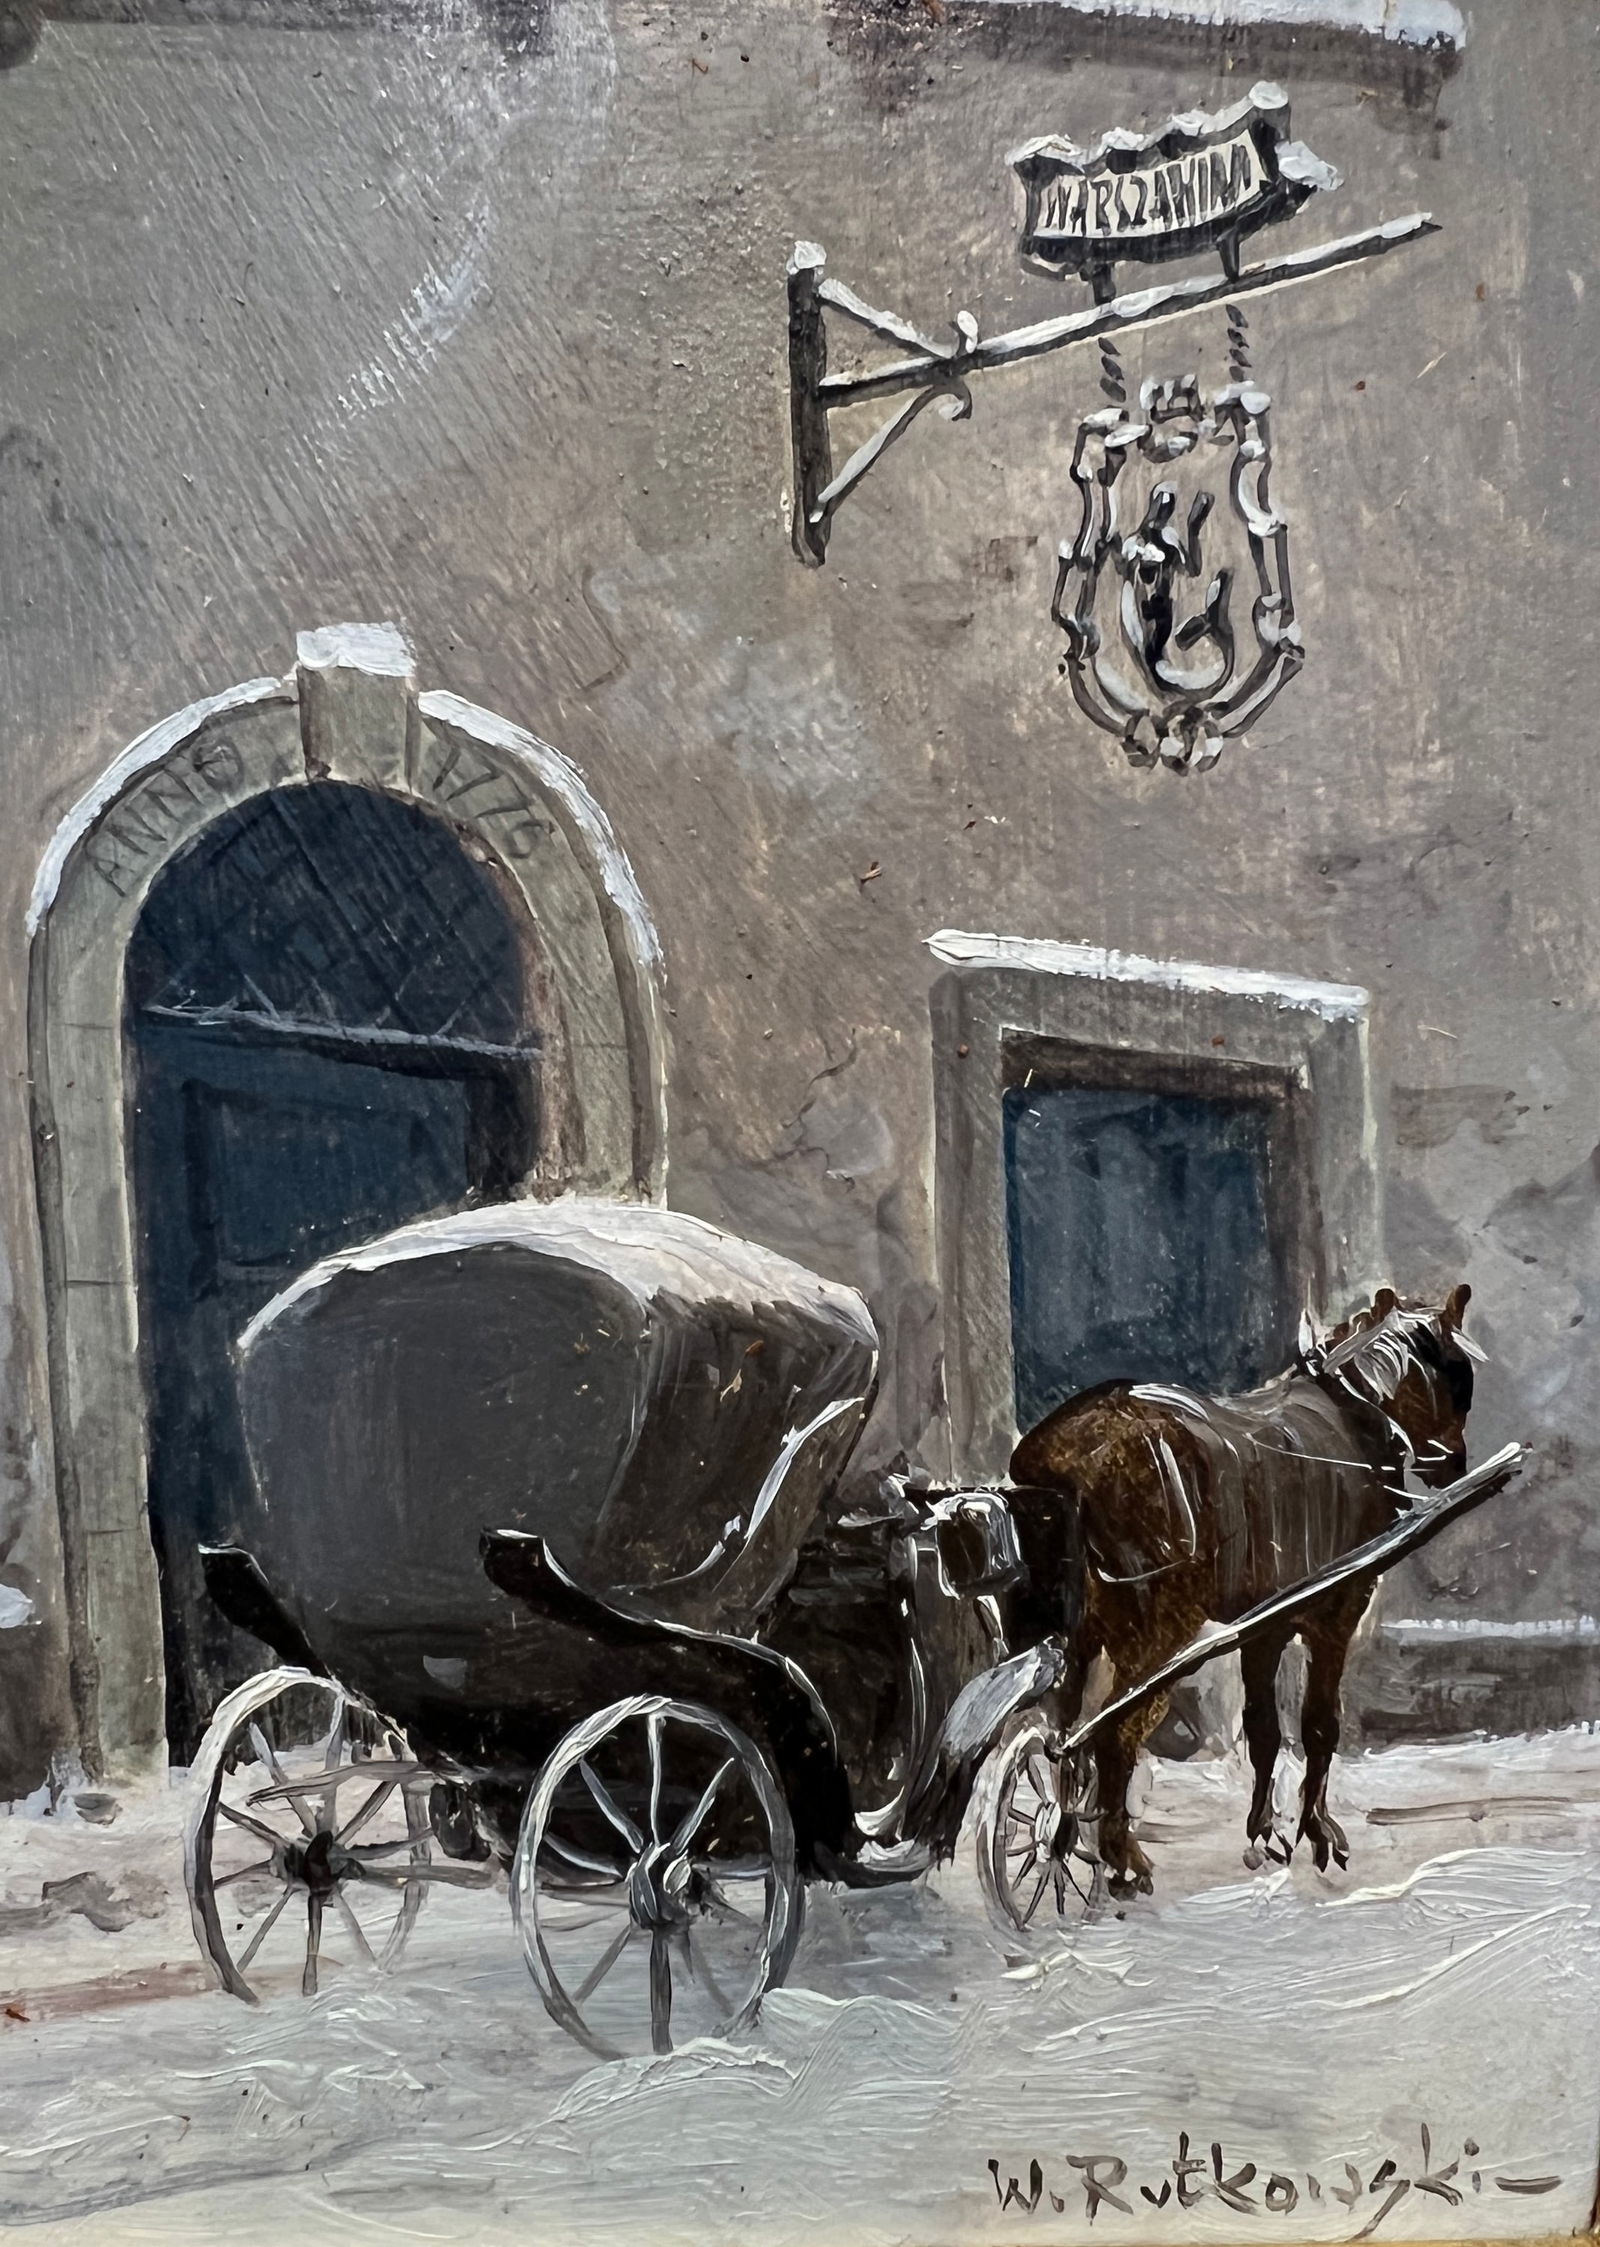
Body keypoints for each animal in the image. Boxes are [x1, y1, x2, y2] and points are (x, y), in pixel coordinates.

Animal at [1009, 1284, 1481, 1896]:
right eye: (1456, 1373)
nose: (1454, 1464)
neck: (1355, 1414)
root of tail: (1059, 1463)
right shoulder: (1334, 1615)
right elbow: (1319, 1725)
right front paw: (1317, 1833)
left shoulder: (1265, 1627)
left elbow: (1263, 1729)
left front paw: (1264, 1831)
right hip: (1156, 1634)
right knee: (1114, 1733)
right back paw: (1120, 1858)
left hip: (1082, 1637)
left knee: (1065, 1730)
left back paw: (1067, 1832)